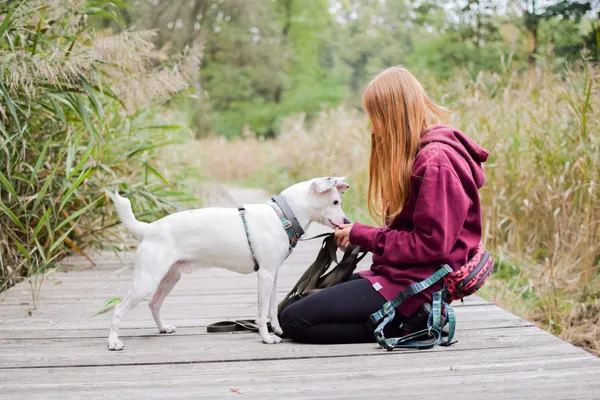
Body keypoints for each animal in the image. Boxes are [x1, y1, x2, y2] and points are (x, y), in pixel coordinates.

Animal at [105, 177, 350, 350]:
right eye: (335, 201)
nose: (347, 221)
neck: (282, 216)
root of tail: (150, 228)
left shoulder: (273, 274)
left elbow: (272, 308)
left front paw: (278, 330)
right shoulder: (265, 275)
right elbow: (262, 312)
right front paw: (266, 338)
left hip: (170, 277)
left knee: (154, 304)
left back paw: (163, 328)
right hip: (146, 281)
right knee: (118, 310)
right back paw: (113, 342)